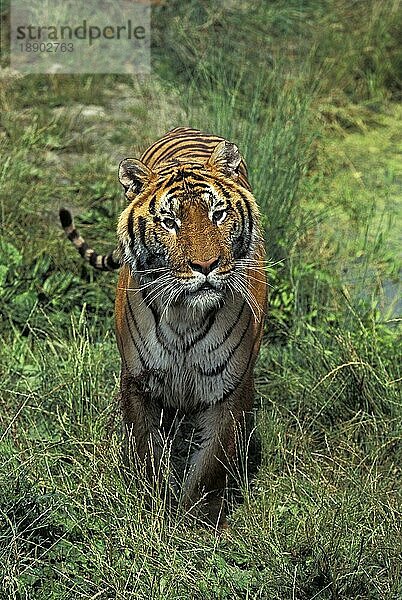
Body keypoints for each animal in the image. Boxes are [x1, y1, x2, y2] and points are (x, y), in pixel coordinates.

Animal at [59, 125, 266, 524]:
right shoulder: (138, 380)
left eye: (218, 214)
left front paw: (195, 521)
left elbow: (210, 465)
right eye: (170, 222)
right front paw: (155, 507)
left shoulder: (231, 389)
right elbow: (147, 452)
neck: (186, 317)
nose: (206, 266)